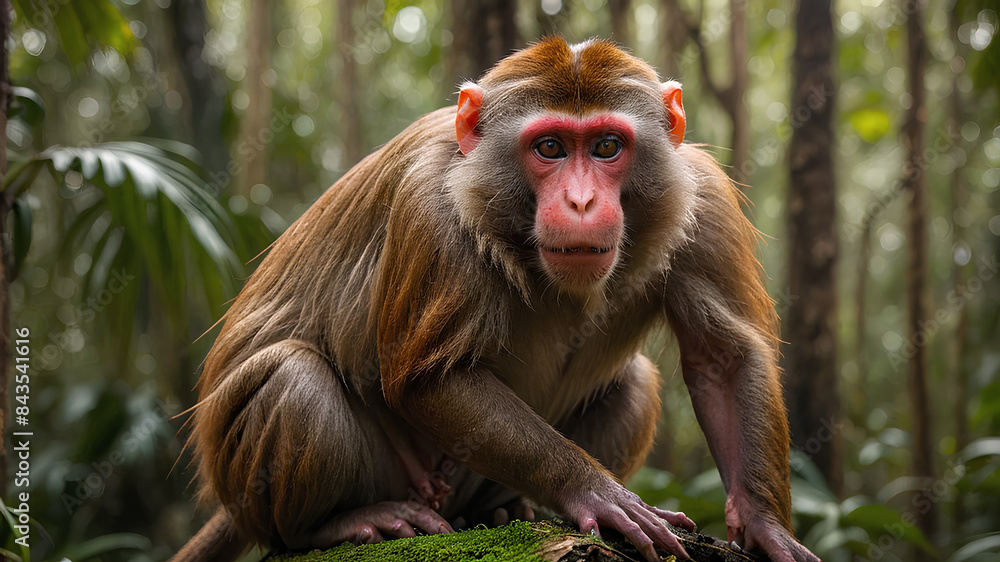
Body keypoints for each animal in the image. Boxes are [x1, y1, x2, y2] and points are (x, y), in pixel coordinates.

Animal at [175, 37, 820, 562]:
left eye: (608, 146)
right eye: (551, 147)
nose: (582, 202)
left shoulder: (703, 193)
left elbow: (724, 360)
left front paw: (765, 527)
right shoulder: (431, 202)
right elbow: (432, 380)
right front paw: (595, 491)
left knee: (633, 384)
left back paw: (499, 511)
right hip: (262, 481)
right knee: (292, 375)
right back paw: (332, 524)